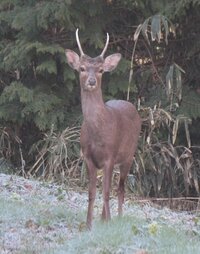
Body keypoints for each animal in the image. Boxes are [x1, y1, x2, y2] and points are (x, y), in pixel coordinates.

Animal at [65, 28, 141, 229]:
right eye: (82, 68)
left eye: (100, 70)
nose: (91, 81)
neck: (98, 133)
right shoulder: (88, 156)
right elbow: (92, 193)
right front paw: (89, 224)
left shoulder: (110, 155)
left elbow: (107, 192)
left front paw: (108, 222)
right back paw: (103, 217)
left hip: (128, 155)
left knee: (120, 188)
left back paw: (119, 217)